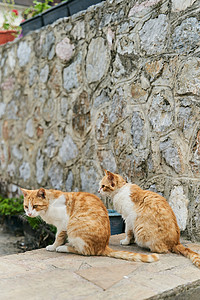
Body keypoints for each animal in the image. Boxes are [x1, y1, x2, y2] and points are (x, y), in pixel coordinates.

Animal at [21, 189, 159, 264]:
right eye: (26, 206)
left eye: (35, 206)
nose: (29, 213)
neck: (49, 206)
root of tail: (103, 247)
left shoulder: (63, 224)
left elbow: (58, 238)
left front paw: (54, 246)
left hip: (74, 226)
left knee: (85, 251)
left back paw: (63, 248)